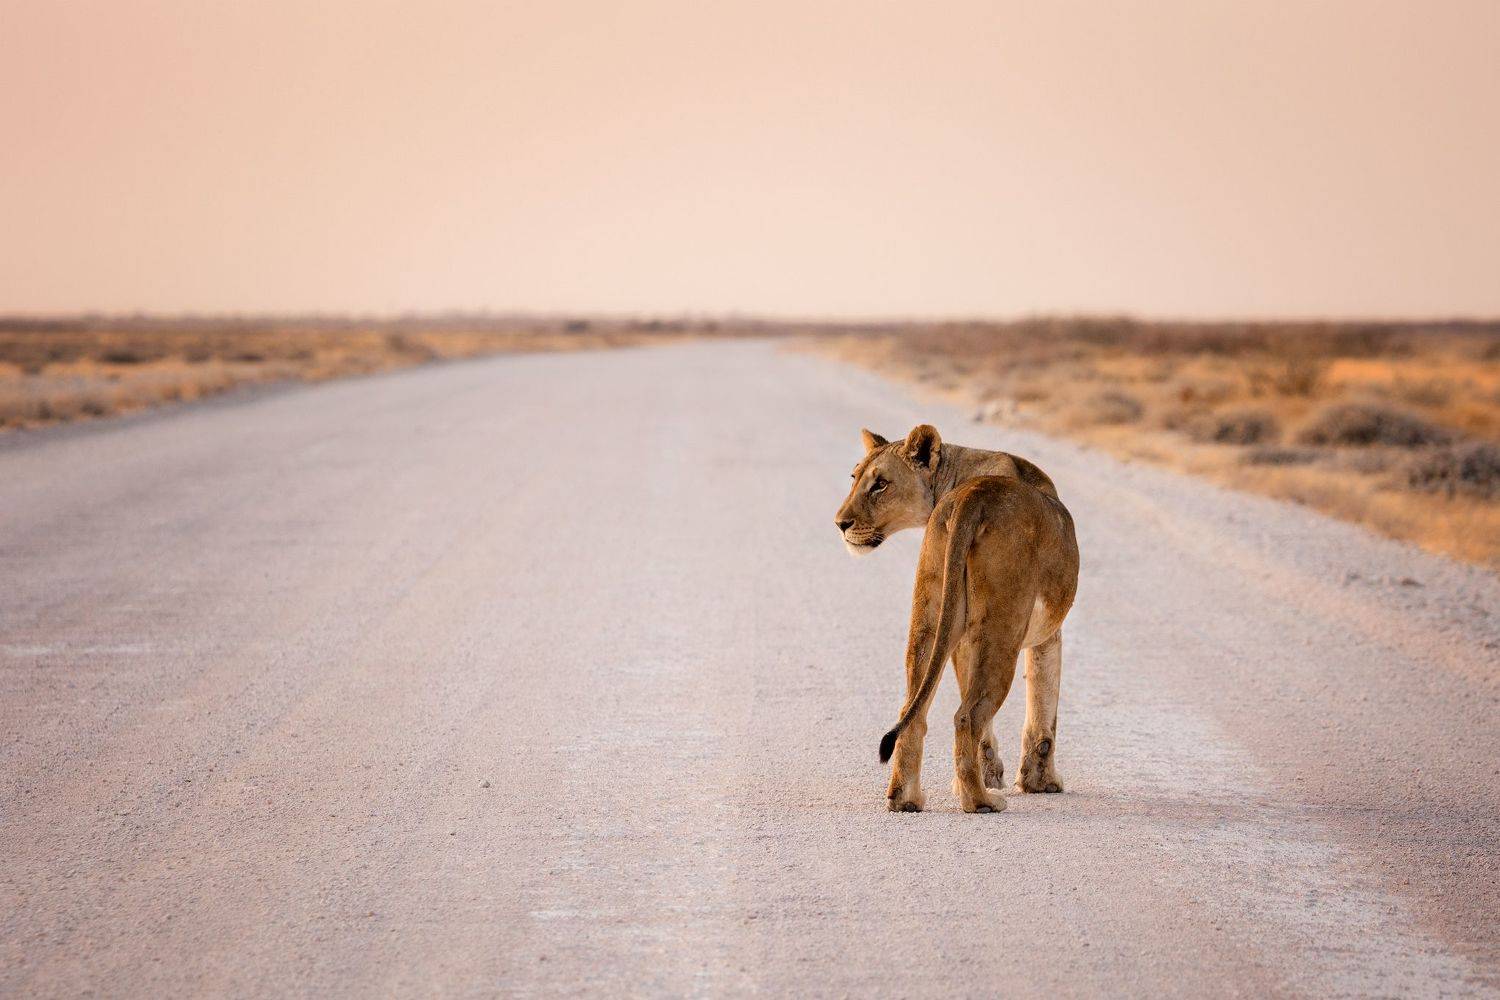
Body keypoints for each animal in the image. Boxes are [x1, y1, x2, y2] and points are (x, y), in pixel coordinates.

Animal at [834, 425, 1079, 813]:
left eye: (879, 484)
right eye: (856, 478)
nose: (840, 523)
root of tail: (972, 497)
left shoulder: (959, 634)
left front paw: (990, 773)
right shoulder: (1047, 633)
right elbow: (1043, 707)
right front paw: (1039, 783)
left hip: (928, 613)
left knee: (913, 711)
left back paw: (906, 798)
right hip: (1002, 630)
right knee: (968, 715)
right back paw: (980, 800)